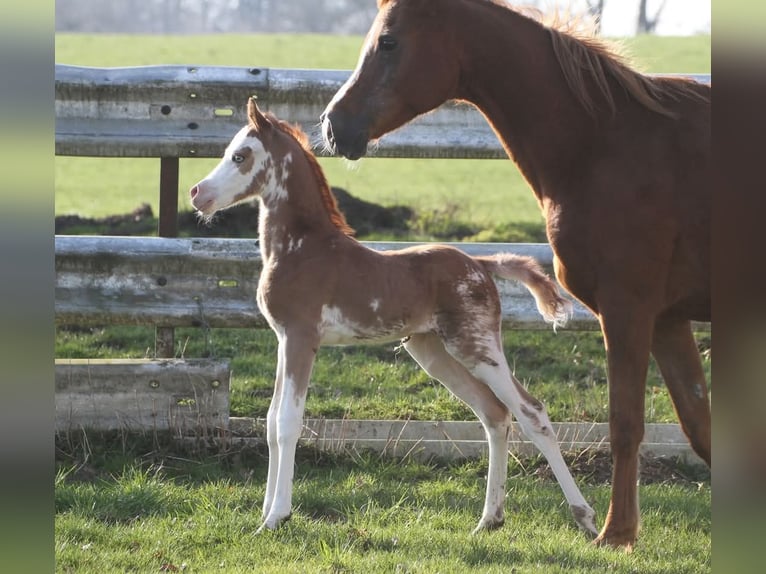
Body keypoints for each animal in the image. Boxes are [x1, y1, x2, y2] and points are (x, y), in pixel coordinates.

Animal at [192, 100, 600, 540]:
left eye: (240, 156)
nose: (197, 194)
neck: (302, 249)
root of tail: (481, 264)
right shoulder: (284, 339)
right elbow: (269, 422)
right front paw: (265, 514)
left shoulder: (302, 338)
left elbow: (288, 422)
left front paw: (277, 517)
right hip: (434, 352)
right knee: (494, 414)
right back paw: (490, 519)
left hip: (476, 347)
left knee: (531, 411)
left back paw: (586, 517)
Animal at [320, 0, 712, 548]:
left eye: (390, 41)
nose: (333, 124)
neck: (603, 142)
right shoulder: (668, 319)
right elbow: (700, 428)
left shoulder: (628, 309)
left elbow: (626, 423)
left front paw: (614, 534)